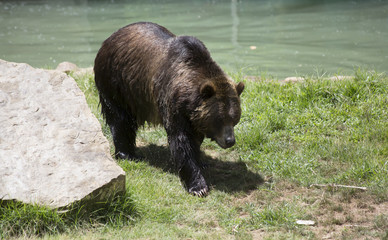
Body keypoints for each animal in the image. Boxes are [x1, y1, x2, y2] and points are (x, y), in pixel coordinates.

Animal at [94, 21, 244, 196]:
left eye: (234, 118)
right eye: (220, 119)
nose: (230, 140)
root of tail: (110, 37)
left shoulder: (193, 115)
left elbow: (195, 139)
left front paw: (201, 162)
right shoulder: (172, 101)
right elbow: (181, 140)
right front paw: (198, 186)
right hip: (116, 82)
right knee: (120, 119)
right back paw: (128, 154)